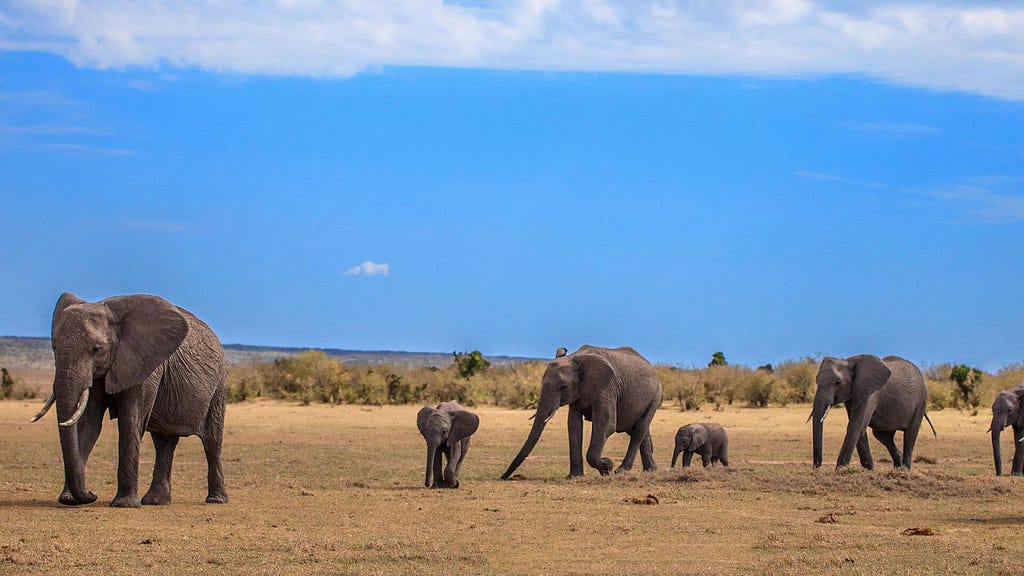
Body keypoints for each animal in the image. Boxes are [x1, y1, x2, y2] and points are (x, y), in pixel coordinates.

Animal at [29, 293, 228, 504]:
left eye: (96, 349)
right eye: (54, 347)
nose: (92, 493)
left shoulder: (145, 366)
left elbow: (130, 421)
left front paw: (123, 504)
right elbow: (88, 424)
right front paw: (69, 499)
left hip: (219, 386)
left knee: (212, 441)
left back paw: (216, 499)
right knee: (164, 442)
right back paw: (155, 501)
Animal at [501, 342, 663, 477]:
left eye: (563, 387)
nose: (503, 477)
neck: (574, 357)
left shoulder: (607, 388)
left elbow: (606, 424)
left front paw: (607, 466)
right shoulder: (579, 391)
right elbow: (573, 424)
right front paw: (575, 477)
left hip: (656, 395)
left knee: (638, 431)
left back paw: (621, 471)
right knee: (640, 431)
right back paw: (650, 471)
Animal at [806, 352, 937, 469]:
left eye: (838, 382)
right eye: (816, 381)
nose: (817, 467)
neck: (848, 362)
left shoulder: (871, 393)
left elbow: (856, 425)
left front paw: (841, 469)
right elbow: (858, 426)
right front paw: (869, 468)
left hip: (921, 401)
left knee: (910, 434)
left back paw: (905, 469)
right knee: (883, 436)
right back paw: (898, 467)